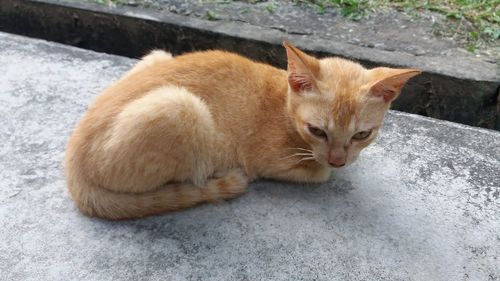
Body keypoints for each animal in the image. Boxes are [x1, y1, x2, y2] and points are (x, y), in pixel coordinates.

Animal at [64, 43, 420, 219]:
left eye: (362, 134)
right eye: (317, 131)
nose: (338, 160)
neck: (284, 102)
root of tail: (73, 171)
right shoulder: (269, 162)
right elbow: (318, 173)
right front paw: (324, 167)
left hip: (159, 55)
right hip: (183, 107)